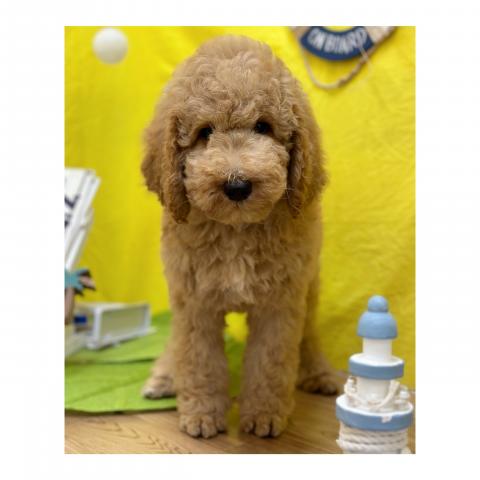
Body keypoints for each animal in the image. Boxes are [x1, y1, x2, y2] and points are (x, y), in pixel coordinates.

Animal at [141, 35, 339, 439]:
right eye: (204, 132)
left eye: (263, 126)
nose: (237, 186)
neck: (237, 230)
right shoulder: (194, 302)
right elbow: (197, 357)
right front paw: (202, 415)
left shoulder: (281, 303)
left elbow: (270, 360)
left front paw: (264, 415)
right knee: (175, 341)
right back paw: (165, 377)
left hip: (310, 286)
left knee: (309, 334)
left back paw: (319, 372)